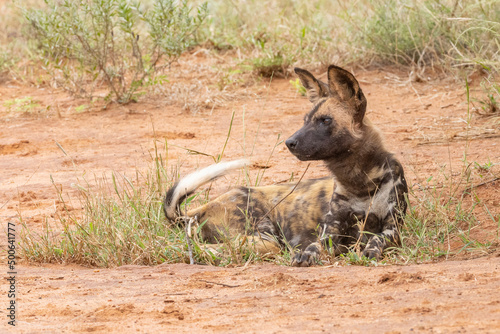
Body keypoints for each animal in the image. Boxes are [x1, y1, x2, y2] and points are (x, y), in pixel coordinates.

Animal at [164, 64, 406, 266]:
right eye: (305, 120)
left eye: (325, 120)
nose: (290, 142)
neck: (359, 181)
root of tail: (199, 209)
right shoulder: (329, 234)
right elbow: (315, 245)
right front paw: (306, 255)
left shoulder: (393, 229)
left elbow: (377, 239)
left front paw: (370, 250)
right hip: (264, 233)